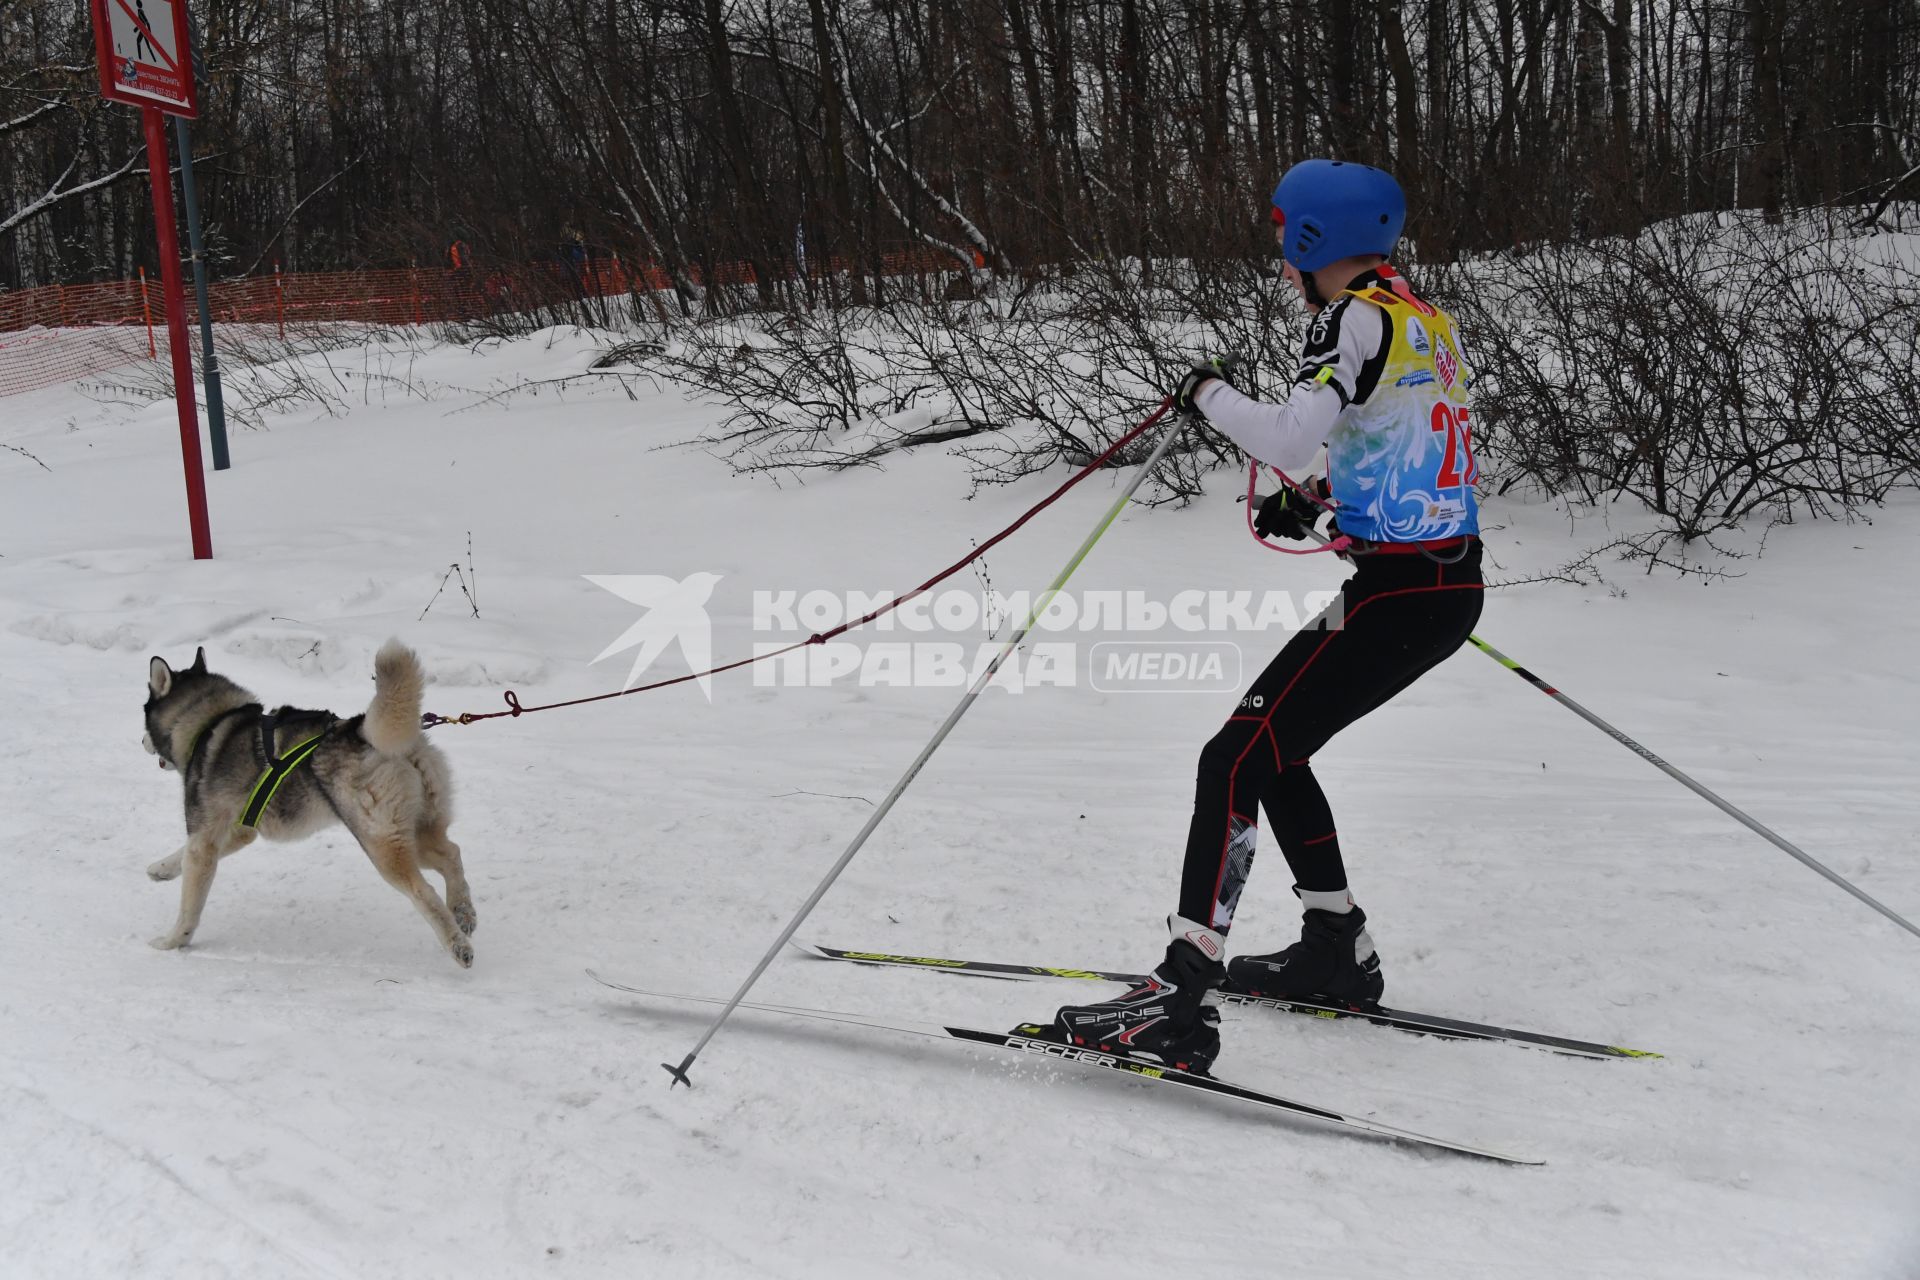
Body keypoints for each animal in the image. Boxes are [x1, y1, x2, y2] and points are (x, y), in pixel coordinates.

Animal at [140, 644, 476, 967]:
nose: (142, 742)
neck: (208, 723)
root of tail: (363, 730)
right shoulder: (237, 832)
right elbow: (181, 855)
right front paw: (160, 869)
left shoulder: (204, 841)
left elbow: (189, 906)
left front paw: (172, 942)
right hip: (417, 834)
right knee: (452, 853)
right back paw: (463, 911)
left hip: (382, 844)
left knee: (425, 891)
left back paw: (458, 946)